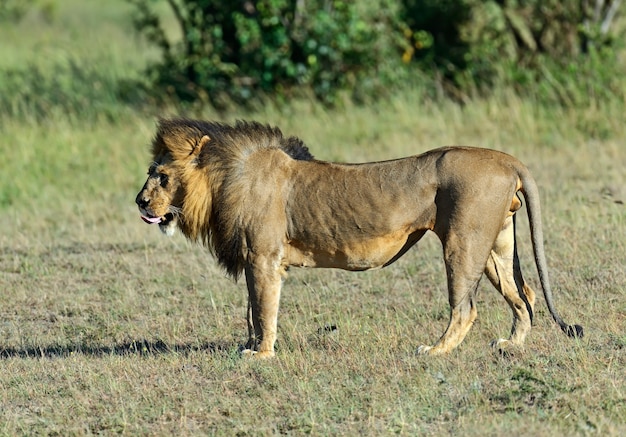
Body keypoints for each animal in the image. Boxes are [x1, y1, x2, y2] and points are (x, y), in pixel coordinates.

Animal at [135, 117, 580, 356]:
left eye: (162, 176)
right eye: (150, 173)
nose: (140, 202)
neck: (223, 181)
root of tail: (507, 159)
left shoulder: (263, 258)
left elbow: (263, 310)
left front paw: (261, 355)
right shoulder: (251, 260)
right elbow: (251, 310)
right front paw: (250, 346)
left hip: (463, 242)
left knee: (466, 308)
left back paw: (434, 352)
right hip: (496, 246)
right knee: (525, 295)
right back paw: (512, 346)